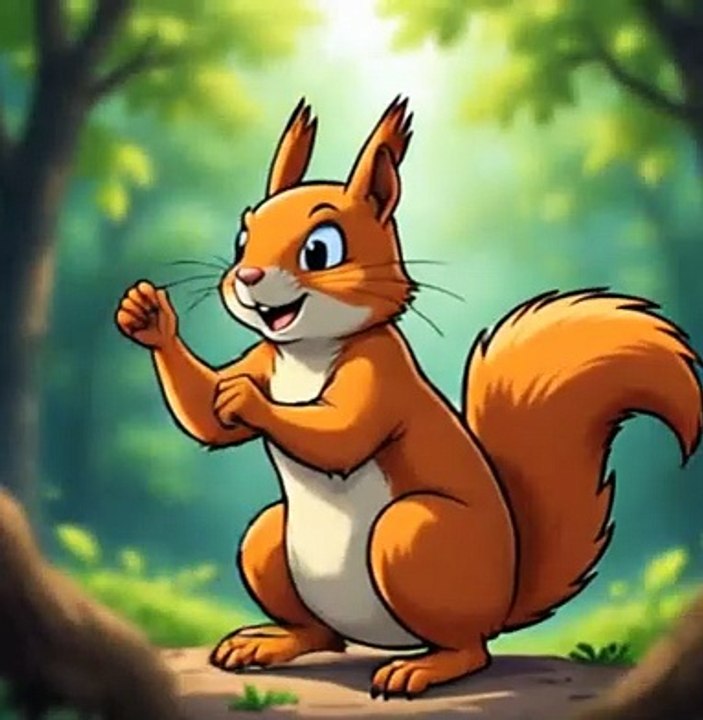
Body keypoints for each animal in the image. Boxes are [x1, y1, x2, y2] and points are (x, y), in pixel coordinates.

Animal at [115, 96, 703, 699]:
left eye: (321, 249)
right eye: (242, 237)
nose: (247, 276)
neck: (307, 351)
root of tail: (505, 601)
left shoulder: (383, 374)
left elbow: (341, 436)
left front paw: (248, 400)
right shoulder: (264, 357)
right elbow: (207, 419)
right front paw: (149, 318)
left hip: (415, 539)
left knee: (470, 648)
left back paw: (421, 668)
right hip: (266, 540)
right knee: (321, 633)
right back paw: (268, 642)